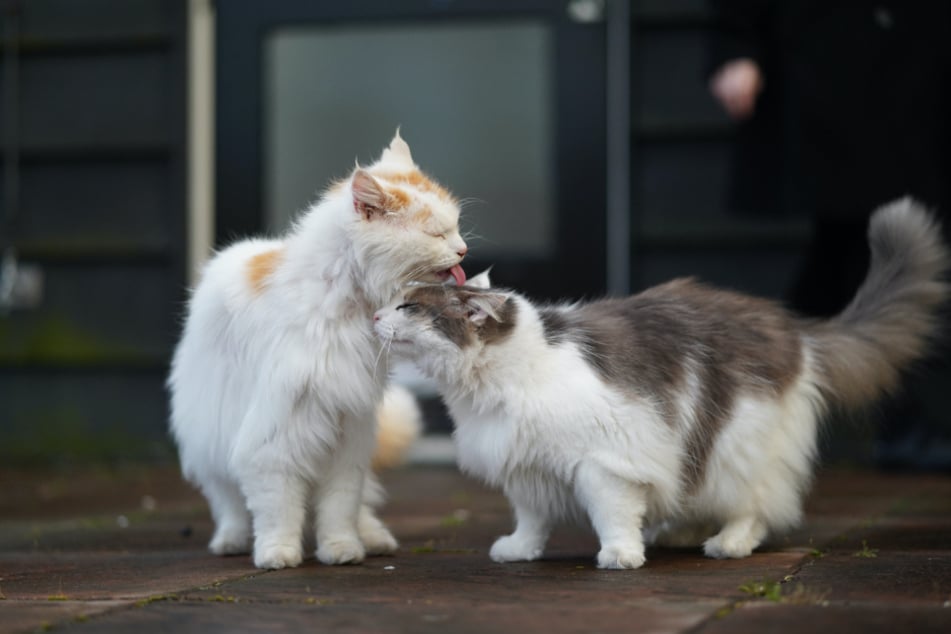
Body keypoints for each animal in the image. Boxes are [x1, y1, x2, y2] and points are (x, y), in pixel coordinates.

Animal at [173, 133, 470, 568]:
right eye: (437, 234)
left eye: (456, 228)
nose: (463, 250)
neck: (347, 303)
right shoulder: (272, 438)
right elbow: (278, 509)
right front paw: (277, 554)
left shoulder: (346, 438)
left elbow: (339, 508)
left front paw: (342, 550)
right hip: (213, 434)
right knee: (228, 502)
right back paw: (231, 541)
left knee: (360, 506)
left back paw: (374, 538)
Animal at [376, 199, 948, 568]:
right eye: (393, 302)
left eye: (407, 307)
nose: (375, 316)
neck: (498, 382)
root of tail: (792, 327)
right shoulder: (526, 465)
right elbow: (532, 518)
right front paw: (519, 550)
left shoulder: (604, 461)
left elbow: (612, 514)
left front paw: (620, 555)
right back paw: (677, 533)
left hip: (736, 446)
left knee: (755, 507)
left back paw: (726, 544)